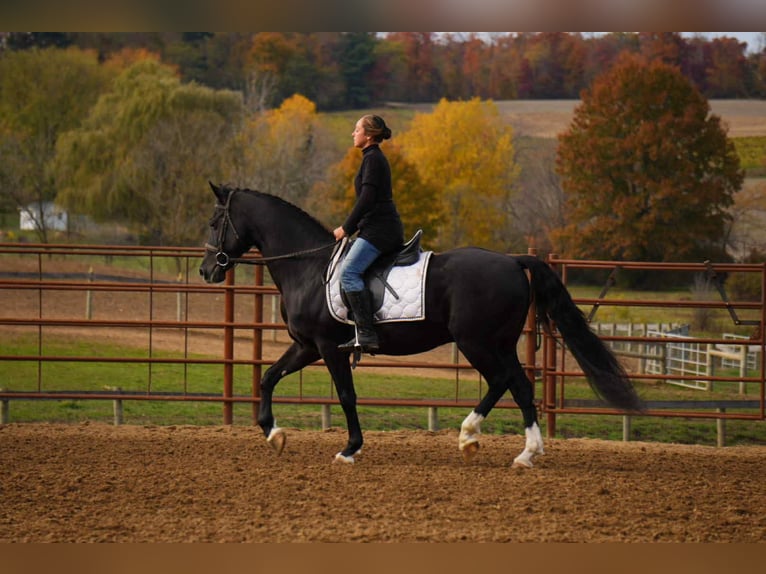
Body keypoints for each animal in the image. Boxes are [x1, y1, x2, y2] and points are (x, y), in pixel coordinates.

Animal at [199, 183, 643, 467]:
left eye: (215, 221)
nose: (206, 270)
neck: (308, 267)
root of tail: (514, 260)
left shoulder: (328, 348)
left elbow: (346, 395)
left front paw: (349, 449)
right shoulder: (307, 346)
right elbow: (268, 377)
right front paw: (273, 434)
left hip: (477, 342)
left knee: (503, 381)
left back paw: (474, 437)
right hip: (498, 343)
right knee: (519, 386)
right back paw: (521, 453)